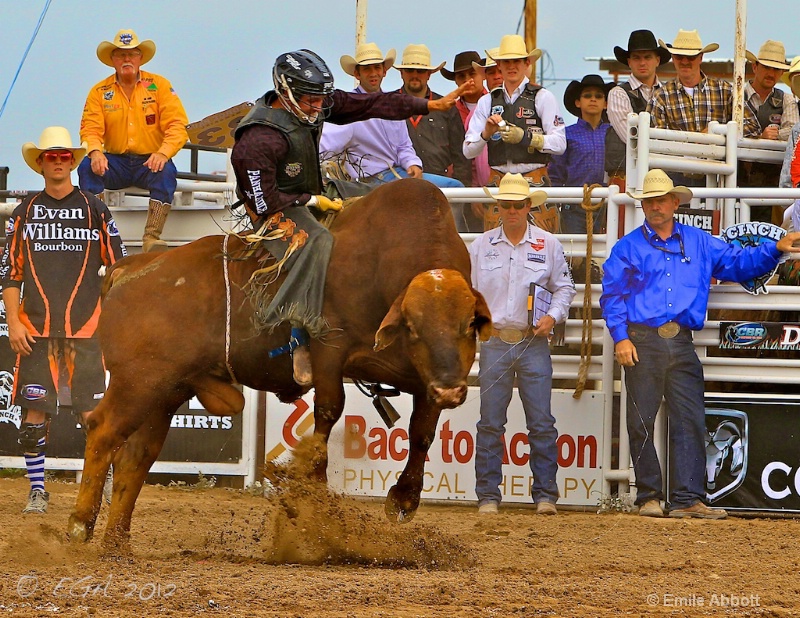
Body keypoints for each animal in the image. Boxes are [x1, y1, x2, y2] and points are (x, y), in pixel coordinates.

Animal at [70, 177, 494, 544]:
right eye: (415, 328)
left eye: (469, 326)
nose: (452, 390)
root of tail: (131, 267)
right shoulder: (329, 349)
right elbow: (328, 410)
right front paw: (316, 493)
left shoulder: (425, 378)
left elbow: (422, 431)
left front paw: (404, 497)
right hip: (137, 382)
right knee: (103, 430)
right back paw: (80, 525)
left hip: (166, 390)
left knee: (136, 456)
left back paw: (117, 541)